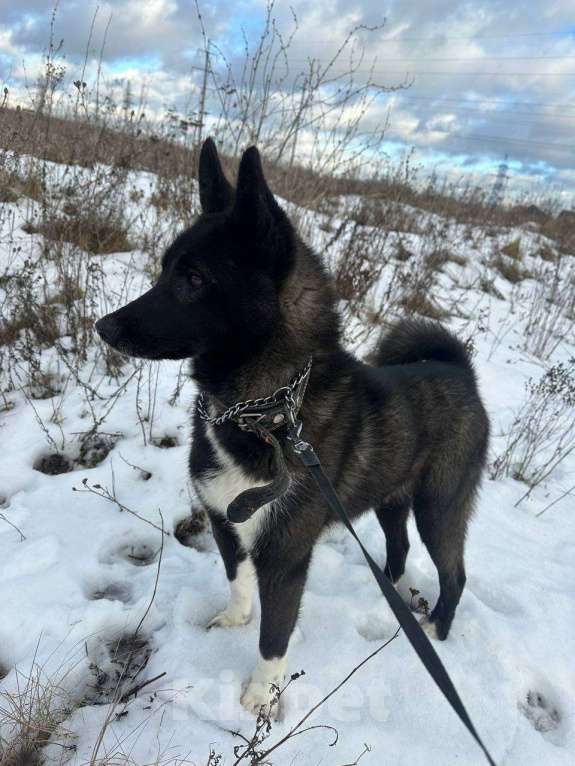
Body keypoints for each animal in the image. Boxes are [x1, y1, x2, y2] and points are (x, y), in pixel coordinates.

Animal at [95, 138, 490, 720]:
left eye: (194, 279)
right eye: (165, 269)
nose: (104, 327)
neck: (265, 412)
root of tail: (460, 371)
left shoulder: (286, 556)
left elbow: (274, 635)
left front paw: (261, 696)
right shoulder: (225, 522)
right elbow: (238, 582)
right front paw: (235, 620)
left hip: (439, 505)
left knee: (453, 572)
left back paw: (437, 630)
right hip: (392, 499)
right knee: (398, 548)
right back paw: (390, 590)